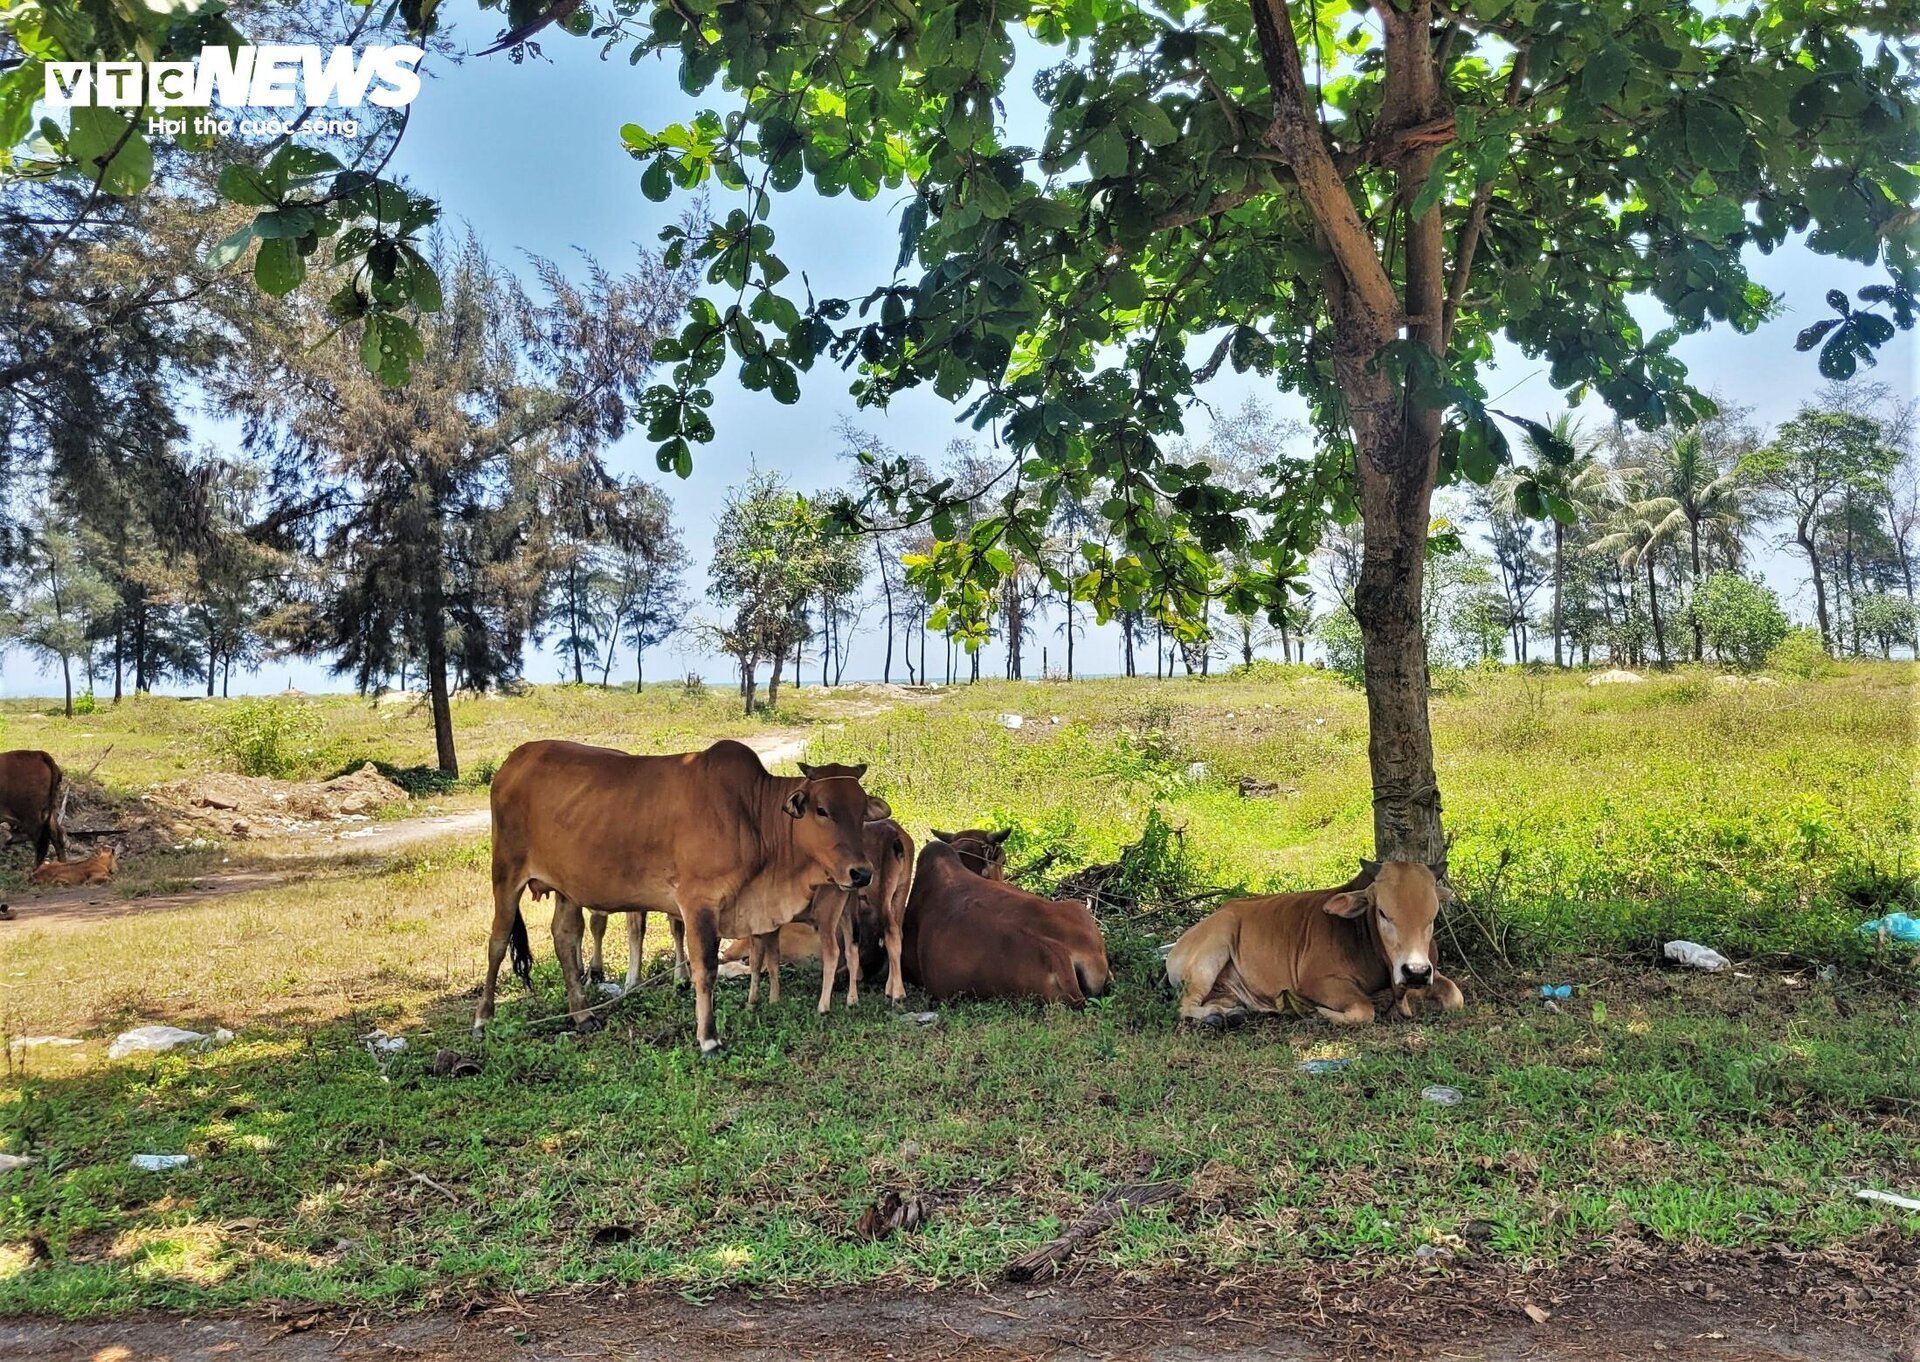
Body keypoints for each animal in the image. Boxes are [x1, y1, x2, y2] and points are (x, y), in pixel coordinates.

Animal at [487, 745, 890, 1052]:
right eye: (822, 810)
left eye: (861, 811)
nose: (861, 873)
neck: (753, 815)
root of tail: (513, 760)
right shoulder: (698, 904)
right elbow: (705, 970)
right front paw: (708, 1038)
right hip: (506, 873)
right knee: (498, 941)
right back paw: (483, 1019)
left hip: (568, 888)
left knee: (565, 939)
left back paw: (582, 1015)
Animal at [1159, 856, 1459, 1021]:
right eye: (1383, 913)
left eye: (1432, 915)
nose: (1416, 972)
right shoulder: (1316, 983)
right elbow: (1364, 1010)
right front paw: (1318, 1013)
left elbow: (1456, 998)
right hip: (1214, 950)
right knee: (1185, 1006)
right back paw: (1219, 1017)